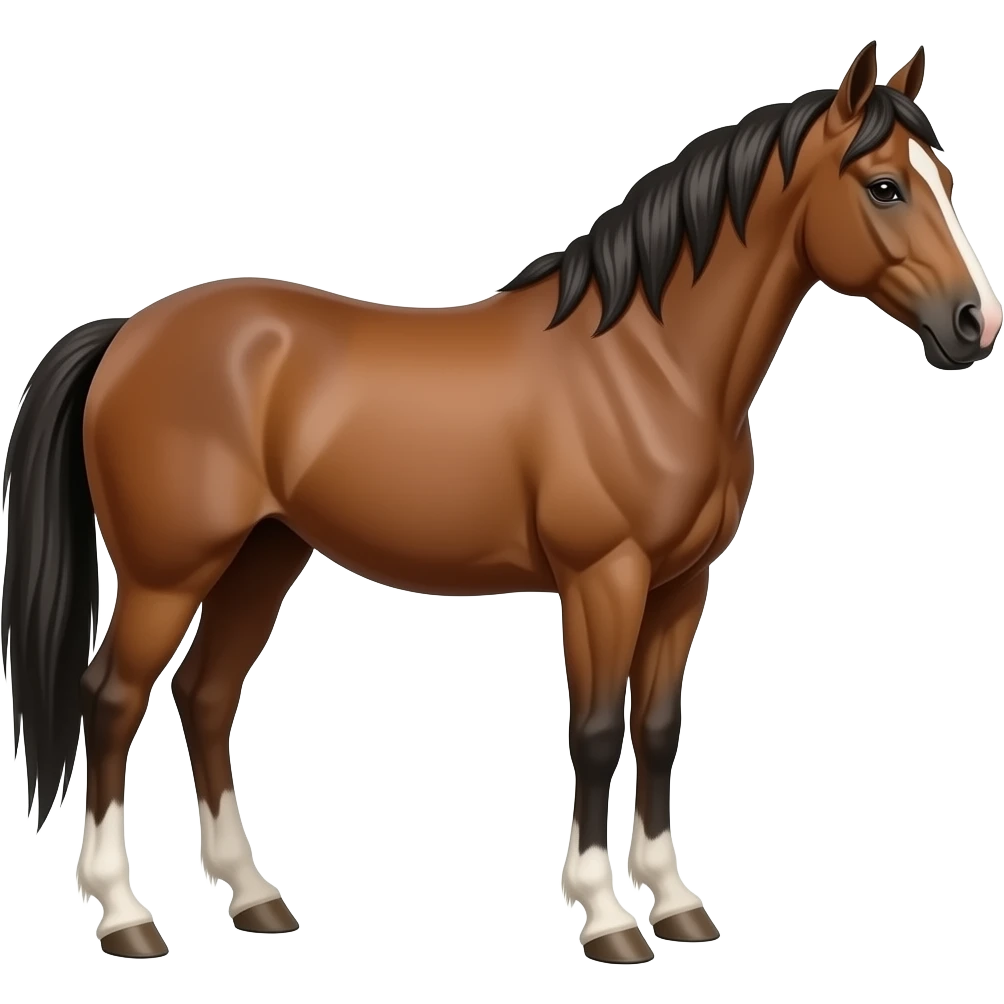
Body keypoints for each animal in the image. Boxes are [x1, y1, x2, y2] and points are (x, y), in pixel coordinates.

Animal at [2, 40, 1000, 963]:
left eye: (945, 178)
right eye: (884, 188)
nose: (975, 325)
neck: (651, 365)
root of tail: (129, 332)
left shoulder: (682, 586)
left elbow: (658, 729)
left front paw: (677, 903)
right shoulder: (604, 579)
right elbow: (594, 732)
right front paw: (607, 918)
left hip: (263, 554)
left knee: (205, 696)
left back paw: (253, 898)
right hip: (168, 573)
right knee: (110, 699)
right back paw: (126, 916)